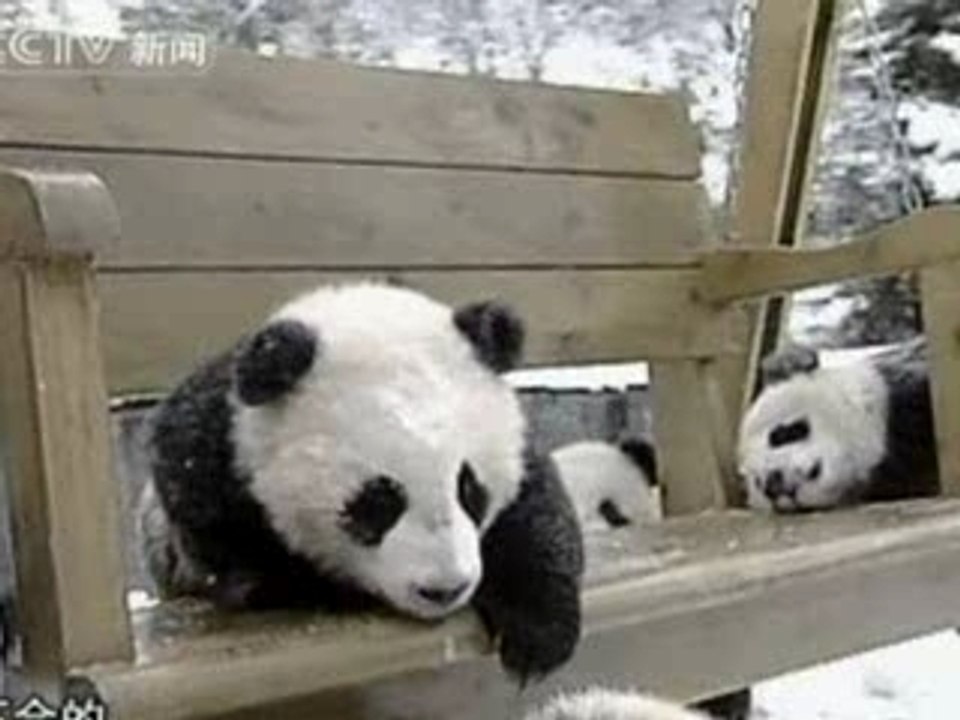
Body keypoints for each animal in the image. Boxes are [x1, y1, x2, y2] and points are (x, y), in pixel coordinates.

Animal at [137, 283, 584, 682]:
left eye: (470, 490)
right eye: (378, 502)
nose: (444, 590)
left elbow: (535, 512)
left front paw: (538, 636)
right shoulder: (211, 457)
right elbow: (239, 559)